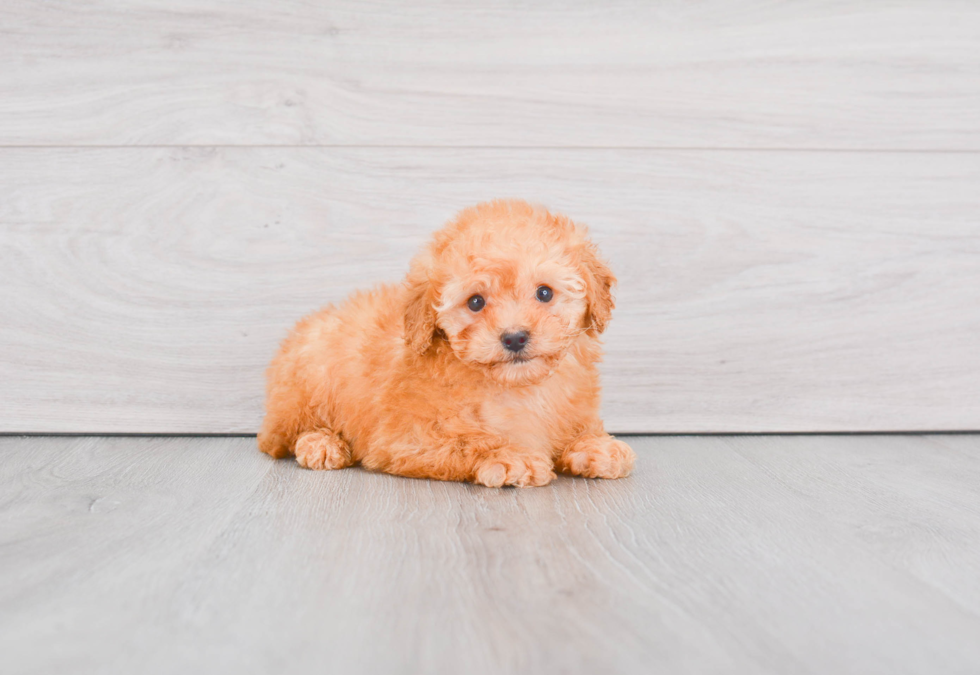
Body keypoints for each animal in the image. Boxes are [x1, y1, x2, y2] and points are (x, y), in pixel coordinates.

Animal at [256, 198, 636, 488]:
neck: (514, 387)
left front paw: (598, 447)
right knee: (282, 439)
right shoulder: (405, 438)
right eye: (475, 302)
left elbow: (578, 429)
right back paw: (321, 443)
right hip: (305, 383)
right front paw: (509, 457)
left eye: (545, 293)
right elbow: (465, 440)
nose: (514, 337)